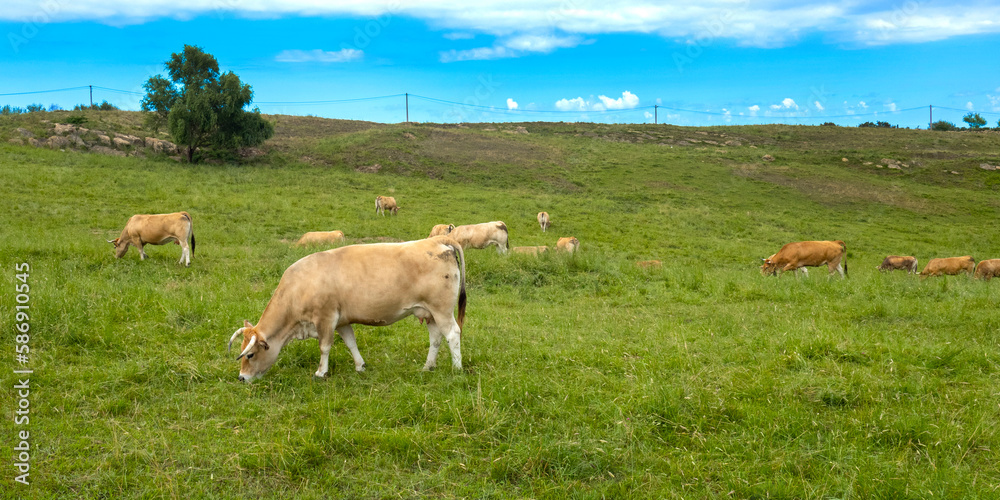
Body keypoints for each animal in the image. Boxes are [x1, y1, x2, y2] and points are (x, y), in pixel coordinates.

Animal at [230, 236, 468, 380]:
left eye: (250, 355)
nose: (242, 378)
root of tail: (437, 239)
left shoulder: (325, 318)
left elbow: (325, 347)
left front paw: (321, 372)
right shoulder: (342, 321)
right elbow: (351, 343)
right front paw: (360, 366)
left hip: (441, 310)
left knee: (453, 334)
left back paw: (457, 369)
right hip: (429, 313)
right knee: (436, 338)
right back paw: (428, 367)